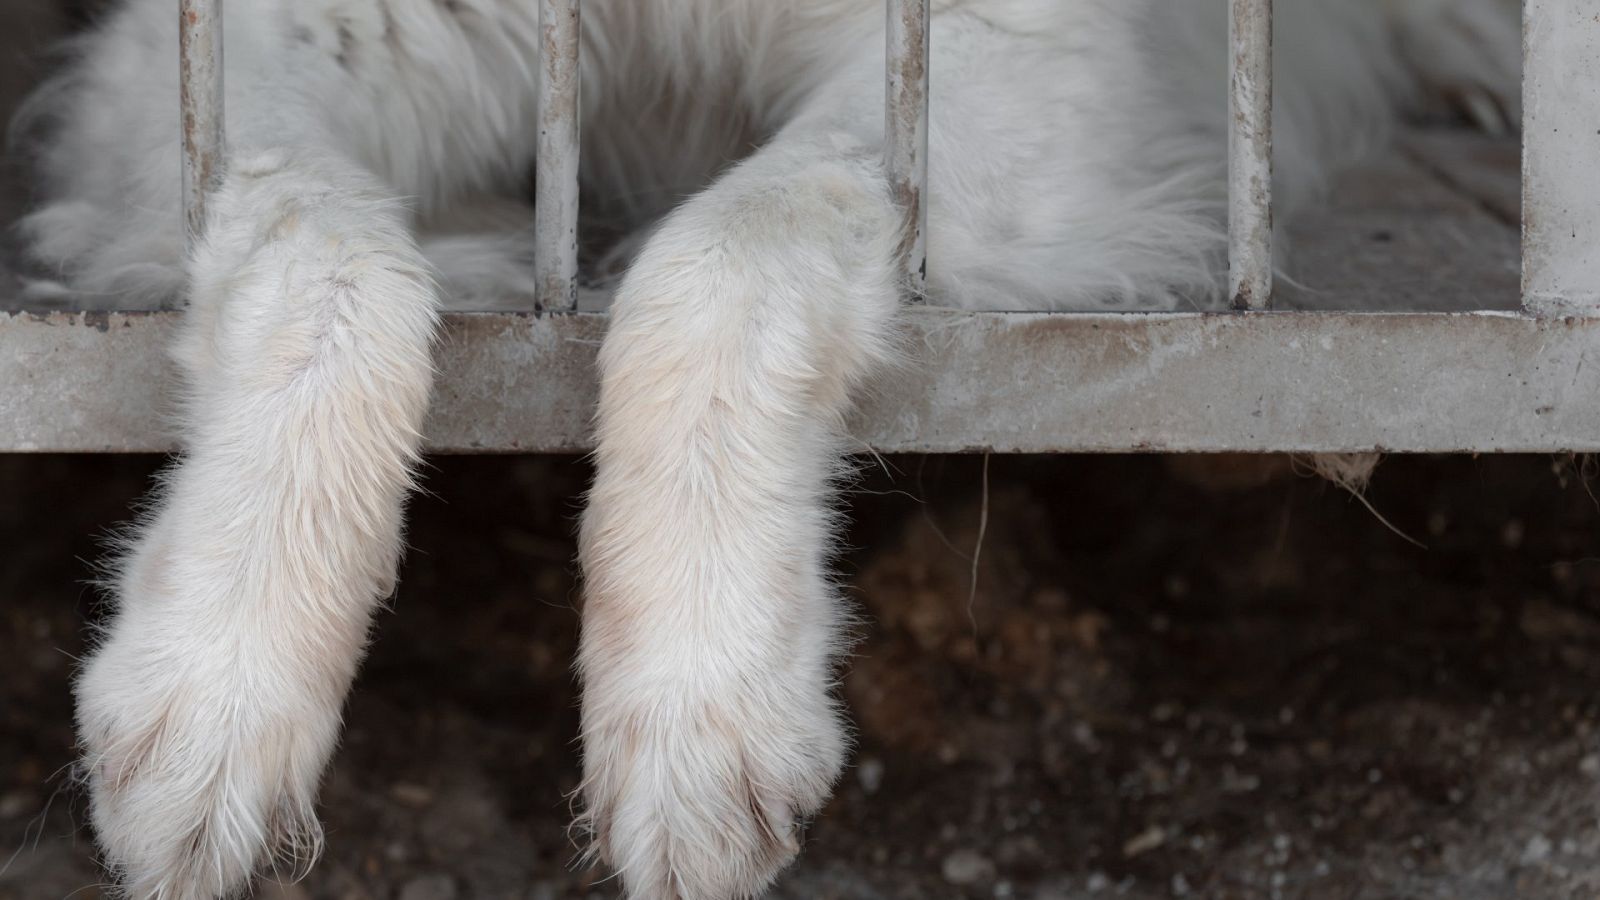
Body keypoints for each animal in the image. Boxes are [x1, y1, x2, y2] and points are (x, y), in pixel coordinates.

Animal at [18, 0, 1516, 890]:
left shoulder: (993, 62)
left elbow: (724, 252)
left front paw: (702, 702)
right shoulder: (249, 50)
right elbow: (325, 260)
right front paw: (214, 689)